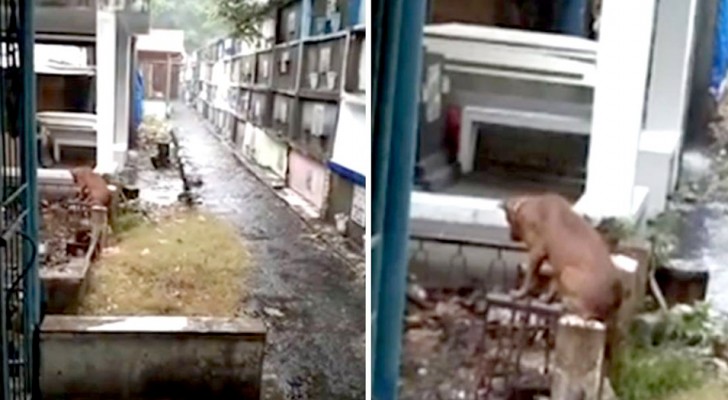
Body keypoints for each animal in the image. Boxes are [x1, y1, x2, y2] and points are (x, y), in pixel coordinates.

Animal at [500, 194, 624, 322]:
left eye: (507, 219)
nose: (511, 237)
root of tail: (612, 307)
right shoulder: (555, 263)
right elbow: (553, 285)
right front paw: (546, 299)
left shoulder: (536, 253)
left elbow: (529, 278)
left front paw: (519, 294)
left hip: (567, 272)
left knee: (585, 314)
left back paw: (565, 303)